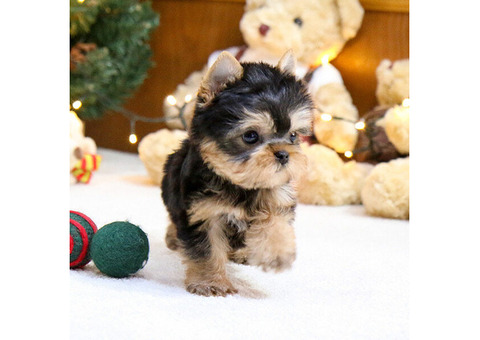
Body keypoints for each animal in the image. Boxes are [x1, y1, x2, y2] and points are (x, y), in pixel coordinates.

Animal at [161, 49, 316, 294]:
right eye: (250, 136)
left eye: (292, 136)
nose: (283, 154)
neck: (241, 184)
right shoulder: (202, 212)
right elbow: (206, 249)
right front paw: (211, 282)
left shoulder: (277, 197)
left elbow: (274, 221)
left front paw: (278, 252)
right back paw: (173, 236)